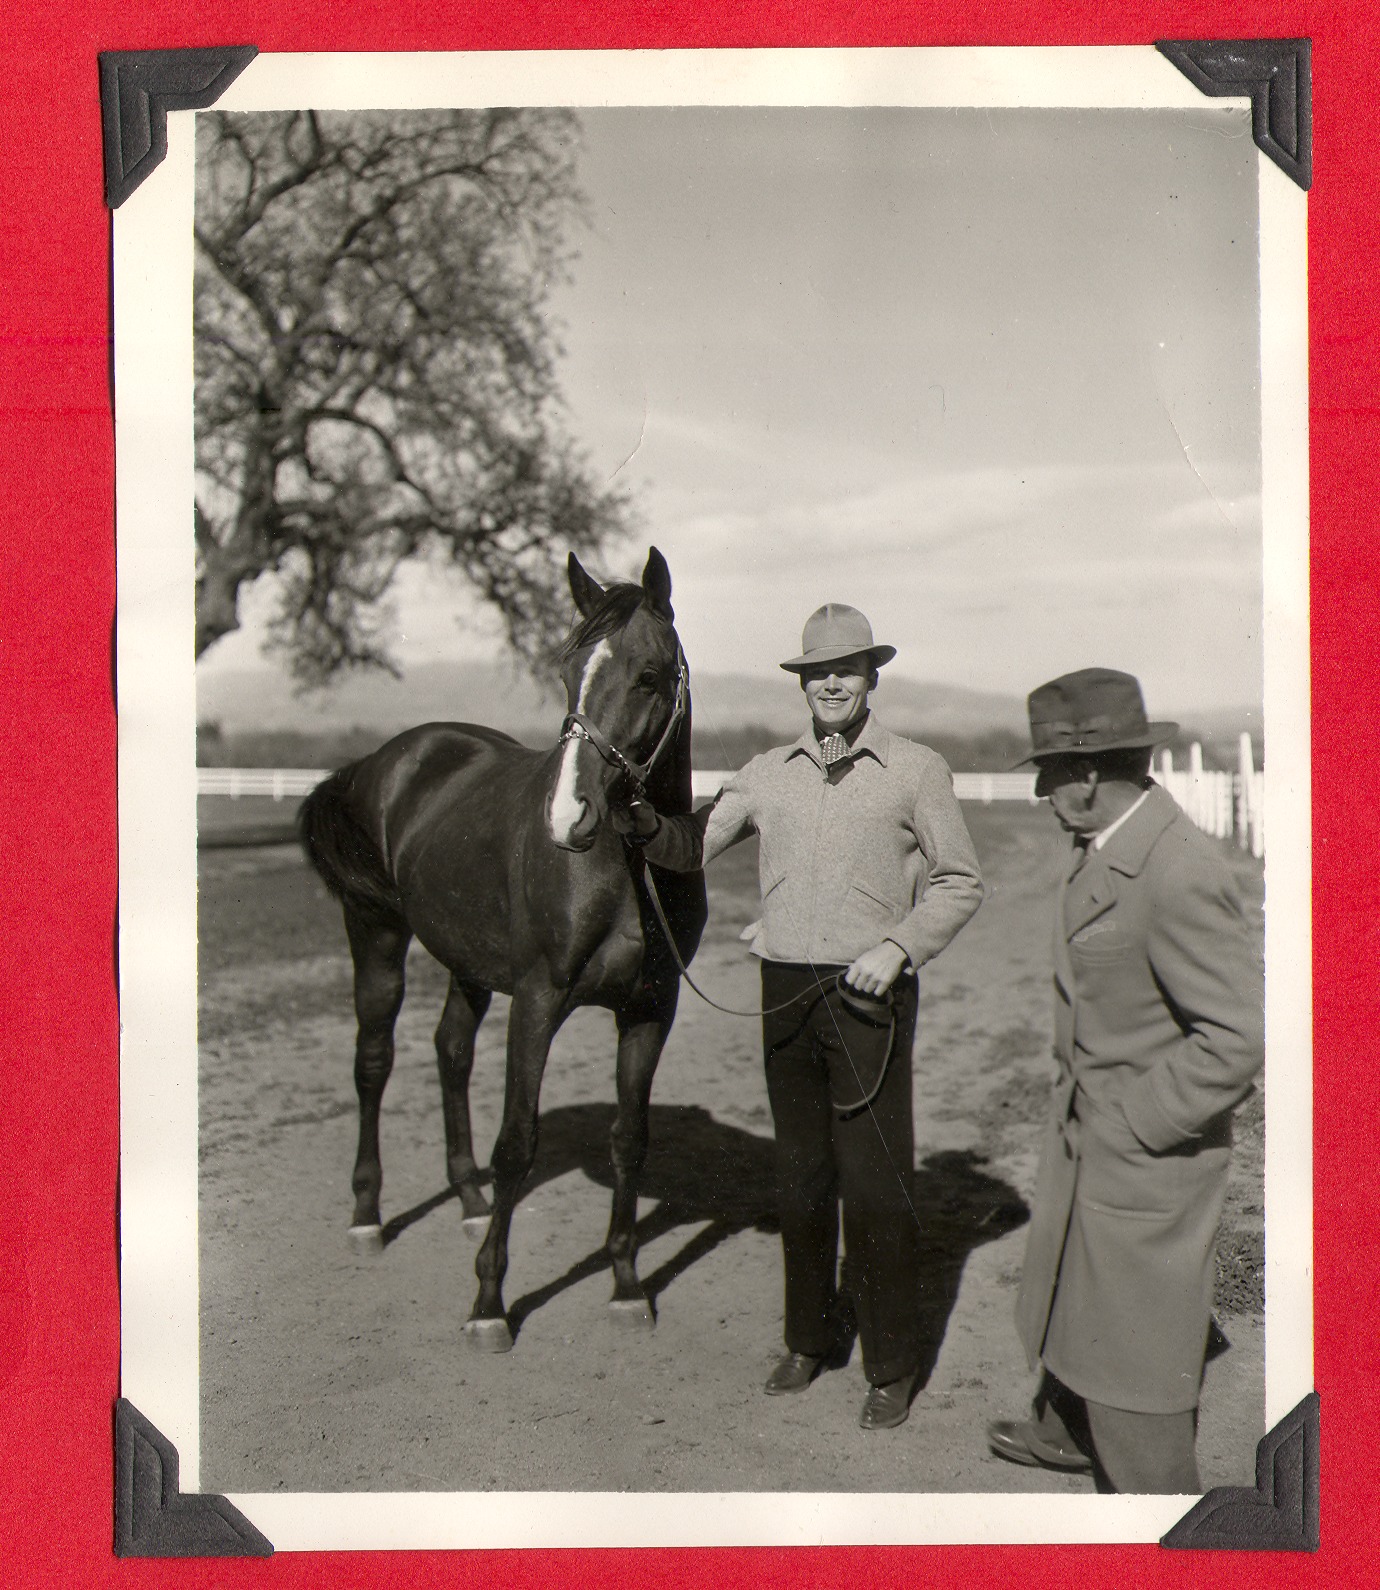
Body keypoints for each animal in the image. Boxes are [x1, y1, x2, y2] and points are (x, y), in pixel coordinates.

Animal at [303, 553, 712, 1348]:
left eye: (649, 675)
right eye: (566, 669)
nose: (569, 815)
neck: (624, 869)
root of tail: (385, 759)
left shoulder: (651, 1008)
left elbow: (630, 1138)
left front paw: (626, 1285)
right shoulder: (538, 1000)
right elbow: (517, 1142)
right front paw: (490, 1302)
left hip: (466, 961)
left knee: (451, 1051)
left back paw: (467, 1200)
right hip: (376, 936)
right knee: (374, 1061)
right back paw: (368, 1216)